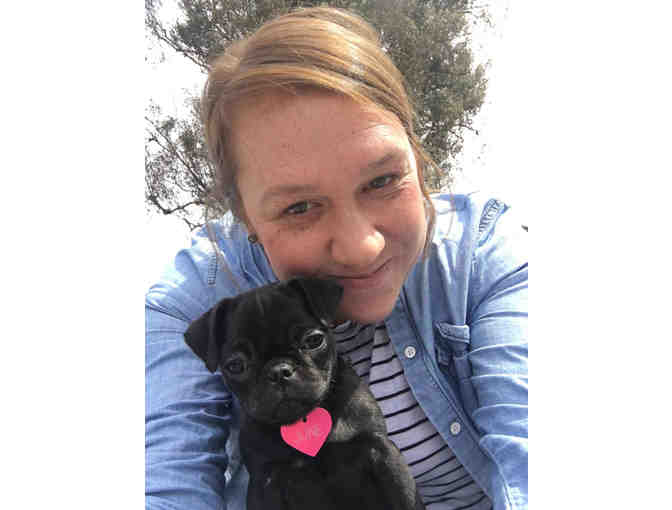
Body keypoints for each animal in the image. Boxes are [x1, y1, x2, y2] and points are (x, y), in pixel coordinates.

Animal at [184, 277, 425, 510]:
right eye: (235, 365)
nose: (279, 371)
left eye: (313, 340)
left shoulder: (384, 454)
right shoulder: (264, 483)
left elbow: (405, 499)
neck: (303, 416)